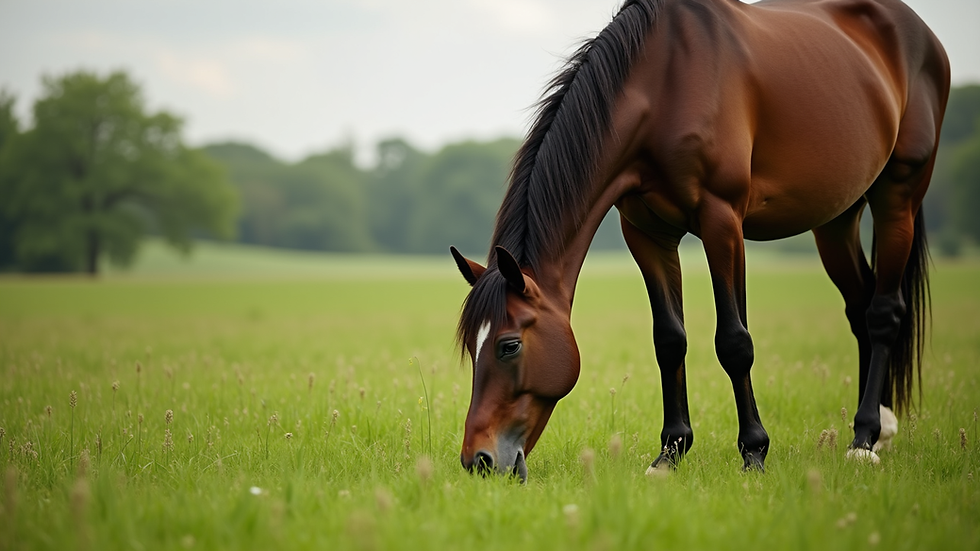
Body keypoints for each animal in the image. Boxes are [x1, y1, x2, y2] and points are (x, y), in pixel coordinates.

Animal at [451, 0, 949, 480]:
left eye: (509, 345)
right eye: (471, 347)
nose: (478, 461)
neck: (664, 83)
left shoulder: (722, 220)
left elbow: (734, 342)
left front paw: (754, 452)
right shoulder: (647, 234)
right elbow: (669, 339)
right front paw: (669, 454)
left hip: (898, 196)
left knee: (883, 314)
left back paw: (863, 439)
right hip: (836, 218)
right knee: (860, 307)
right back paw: (877, 430)